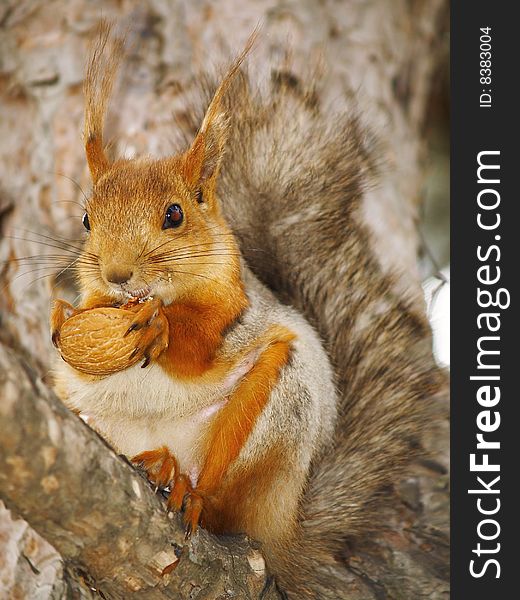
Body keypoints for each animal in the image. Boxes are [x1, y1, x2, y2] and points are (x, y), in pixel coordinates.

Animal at [51, 22, 442, 596]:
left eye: (174, 214)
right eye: (85, 220)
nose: (118, 274)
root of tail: (283, 530)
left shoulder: (234, 311)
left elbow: (199, 348)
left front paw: (160, 327)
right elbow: (82, 339)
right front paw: (62, 323)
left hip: (280, 408)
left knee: (221, 501)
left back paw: (183, 486)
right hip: (96, 422)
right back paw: (158, 467)